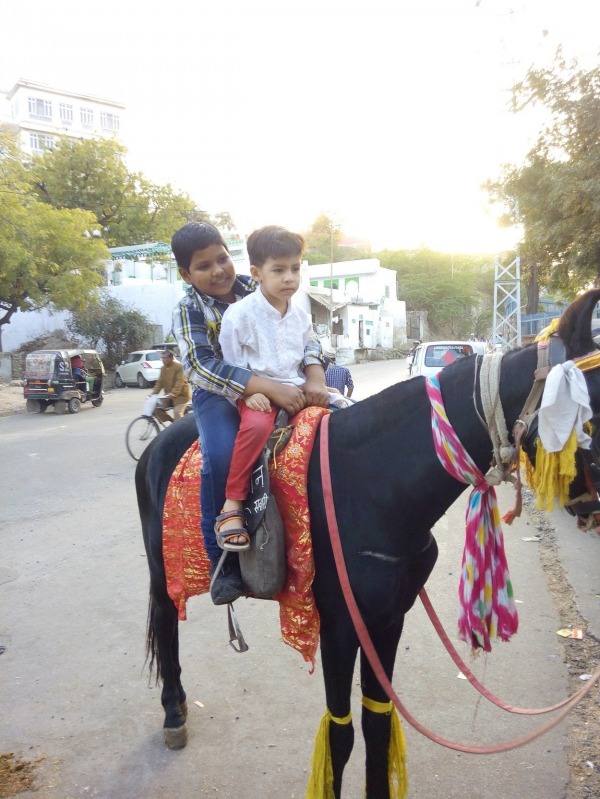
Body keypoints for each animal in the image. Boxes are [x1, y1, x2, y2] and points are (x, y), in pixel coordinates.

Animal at [138, 290, 600, 799]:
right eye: (589, 413)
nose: (594, 510)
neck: (376, 484)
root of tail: (157, 445)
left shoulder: (389, 615)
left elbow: (377, 721)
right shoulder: (339, 625)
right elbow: (340, 733)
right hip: (161, 569)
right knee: (165, 623)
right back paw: (174, 711)